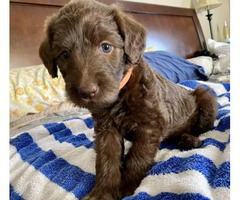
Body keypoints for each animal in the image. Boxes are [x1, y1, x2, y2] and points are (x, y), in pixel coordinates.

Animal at [38, 0, 218, 198]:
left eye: (106, 47)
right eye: (64, 54)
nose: (87, 92)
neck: (121, 93)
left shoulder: (151, 125)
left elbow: (137, 158)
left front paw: (126, 188)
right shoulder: (106, 129)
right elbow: (107, 160)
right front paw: (103, 192)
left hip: (205, 97)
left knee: (201, 129)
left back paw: (190, 140)